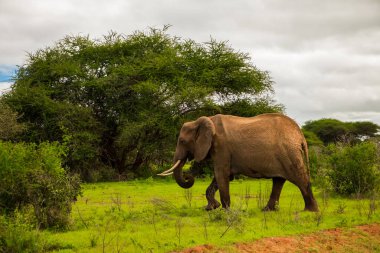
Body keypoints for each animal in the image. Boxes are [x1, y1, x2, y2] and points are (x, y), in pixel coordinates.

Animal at [159, 113, 320, 211]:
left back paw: (310, 211)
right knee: (278, 181)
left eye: (182, 141)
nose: (188, 176)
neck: (205, 120)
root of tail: (300, 135)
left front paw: (225, 211)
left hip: (289, 153)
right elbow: (221, 177)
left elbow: (221, 174)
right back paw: (267, 210)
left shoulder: (221, 146)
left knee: (300, 178)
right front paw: (211, 208)